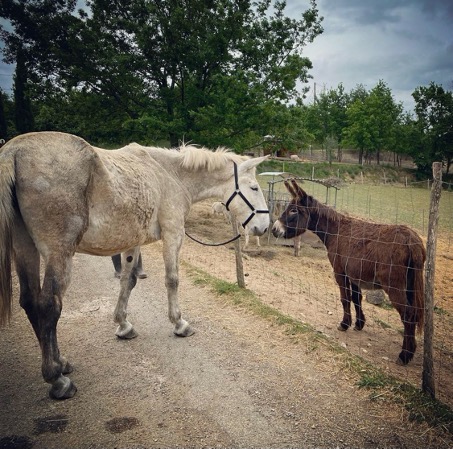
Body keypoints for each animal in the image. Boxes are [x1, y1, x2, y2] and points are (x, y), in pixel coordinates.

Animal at [0, 130, 268, 400]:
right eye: (254, 187)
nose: (264, 227)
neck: (170, 174)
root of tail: (15, 150)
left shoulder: (133, 243)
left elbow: (127, 281)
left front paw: (123, 325)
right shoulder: (173, 234)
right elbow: (172, 280)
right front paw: (179, 323)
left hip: (26, 249)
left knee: (30, 302)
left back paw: (61, 363)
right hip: (59, 254)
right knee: (48, 306)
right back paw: (57, 378)